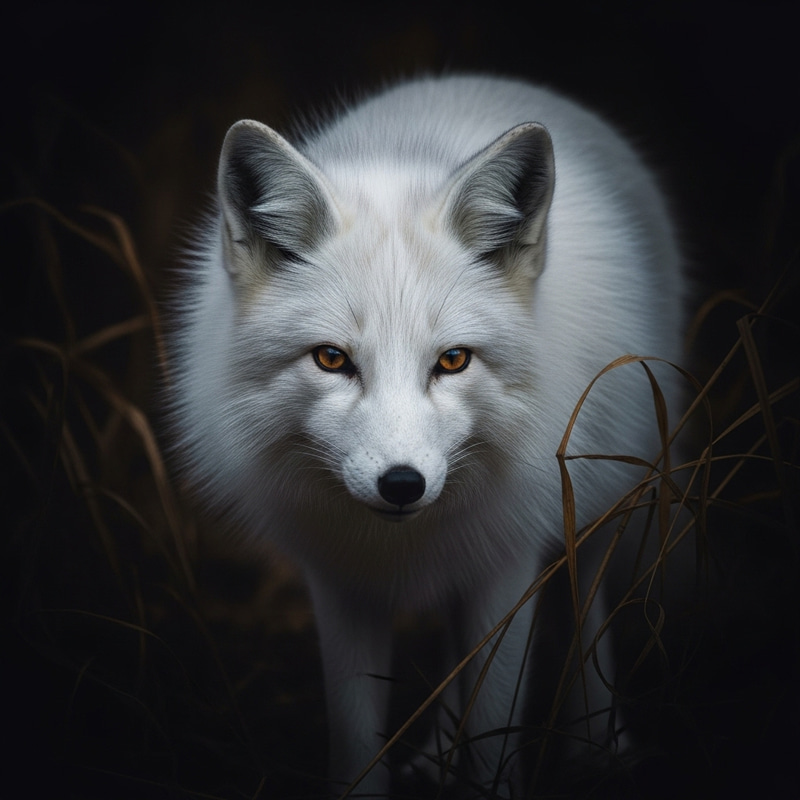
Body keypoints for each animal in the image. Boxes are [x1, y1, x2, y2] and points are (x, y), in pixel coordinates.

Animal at [169, 74, 685, 797]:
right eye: (331, 359)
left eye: (453, 360)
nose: (402, 485)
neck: (402, 543)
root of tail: (487, 78)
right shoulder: (339, 582)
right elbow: (358, 740)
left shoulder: (508, 564)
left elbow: (496, 723)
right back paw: (440, 753)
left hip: (602, 500)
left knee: (590, 610)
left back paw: (597, 746)